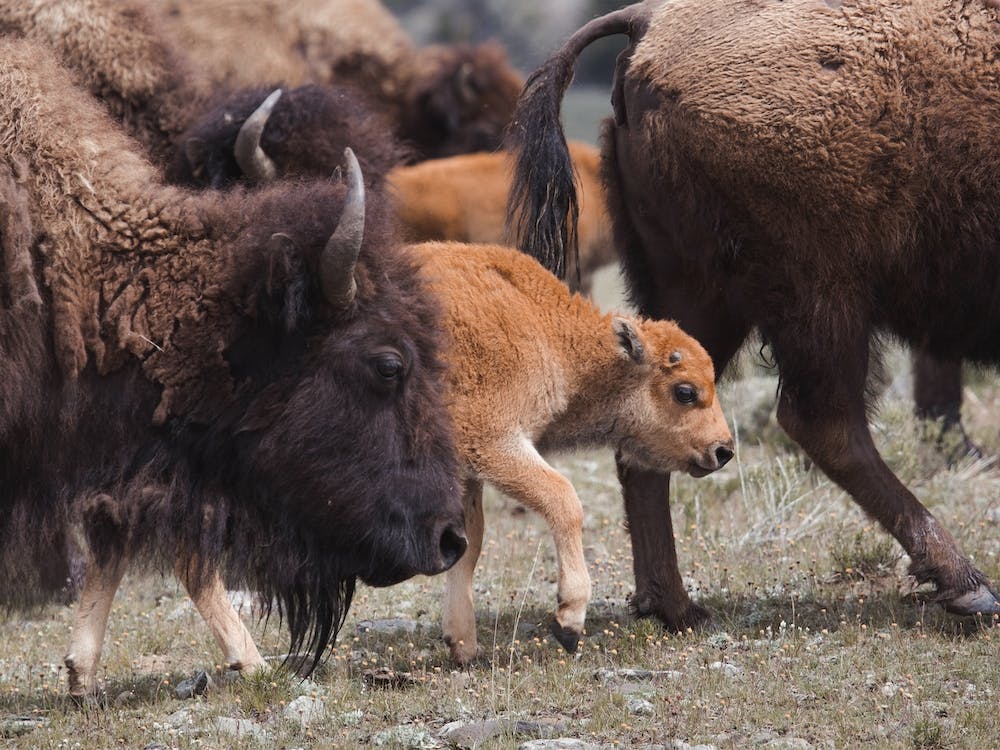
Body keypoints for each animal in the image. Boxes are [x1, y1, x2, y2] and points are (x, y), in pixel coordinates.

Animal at [507, 0, 1000, 625]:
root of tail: (647, 22)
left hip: (705, 297)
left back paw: (675, 608)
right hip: (820, 294)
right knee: (826, 421)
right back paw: (969, 585)